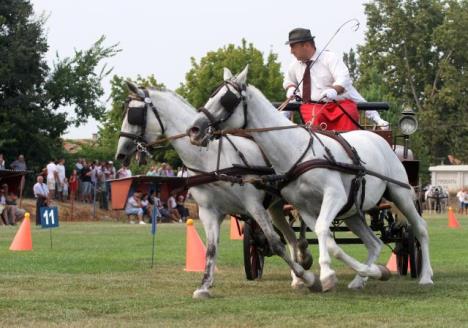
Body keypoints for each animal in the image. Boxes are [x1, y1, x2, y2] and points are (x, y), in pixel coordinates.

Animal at [115, 84, 320, 298]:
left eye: (133, 114)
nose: (120, 153)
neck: (210, 160)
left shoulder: (254, 206)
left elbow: (275, 242)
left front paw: (310, 278)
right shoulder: (209, 212)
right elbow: (211, 249)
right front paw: (204, 285)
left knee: (301, 229)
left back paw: (304, 261)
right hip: (275, 206)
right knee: (291, 237)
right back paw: (298, 273)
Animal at [187, 66, 436, 290]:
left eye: (227, 99)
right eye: (212, 95)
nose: (195, 129)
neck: (297, 151)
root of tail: (379, 138)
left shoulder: (334, 196)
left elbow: (323, 231)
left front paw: (326, 274)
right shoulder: (305, 207)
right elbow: (324, 236)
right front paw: (327, 269)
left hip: (400, 193)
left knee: (420, 228)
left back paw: (425, 276)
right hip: (352, 212)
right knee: (374, 243)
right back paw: (360, 279)